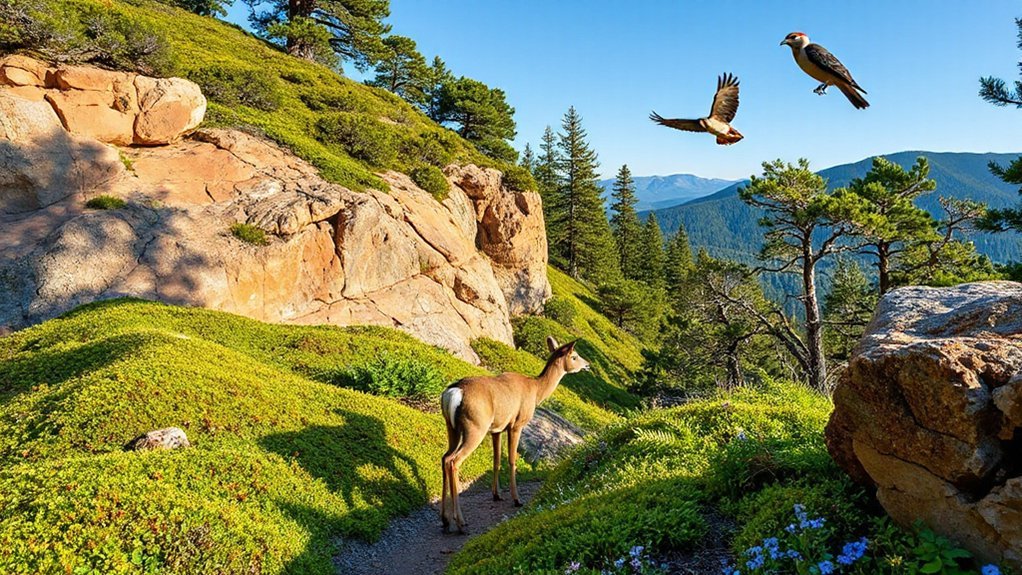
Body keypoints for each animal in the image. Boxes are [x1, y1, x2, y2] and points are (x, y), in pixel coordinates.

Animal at [439, 336, 590, 533]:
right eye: (574, 356)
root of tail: (454, 392)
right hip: (475, 427)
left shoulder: (497, 429)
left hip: (452, 427)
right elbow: (512, 460)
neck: (536, 390)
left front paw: (496, 494)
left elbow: (496, 461)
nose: (587, 365)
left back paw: (445, 519)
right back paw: (460, 522)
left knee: (444, 457)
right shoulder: (516, 424)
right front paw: (516, 499)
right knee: (454, 461)